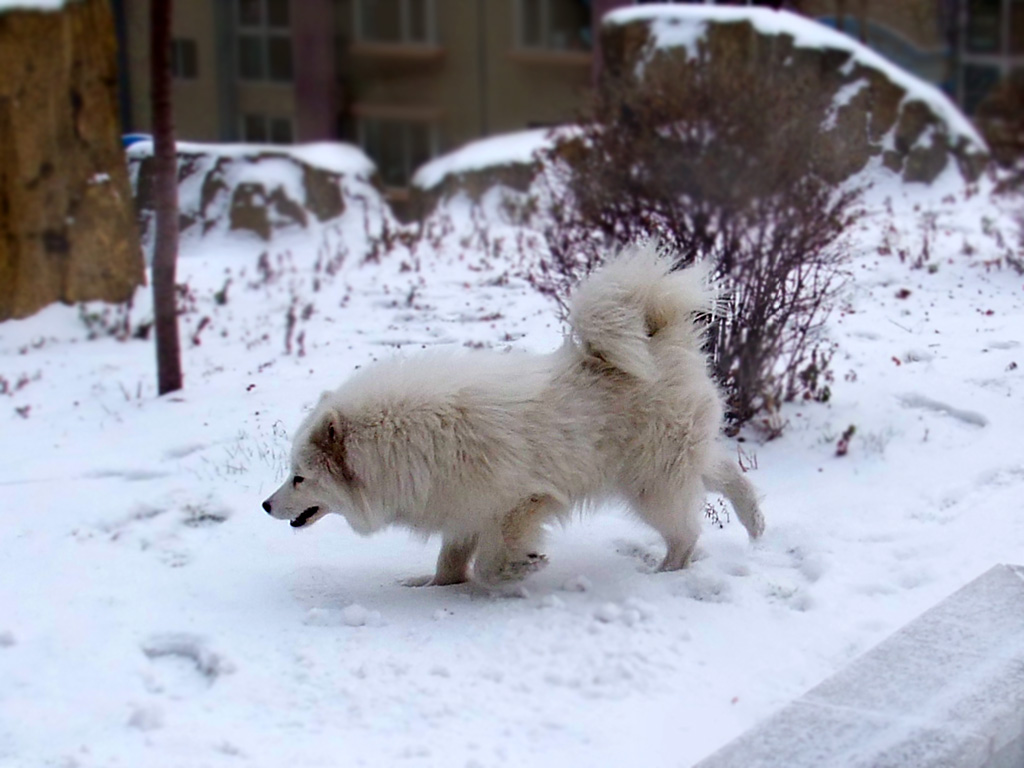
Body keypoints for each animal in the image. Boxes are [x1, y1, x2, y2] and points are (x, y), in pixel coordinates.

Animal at [264, 243, 761, 585]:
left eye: (299, 477)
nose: (265, 504)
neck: (404, 442)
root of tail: (661, 341)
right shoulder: (463, 508)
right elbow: (449, 562)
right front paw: (432, 586)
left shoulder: (522, 501)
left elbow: (490, 560)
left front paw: (521, 567)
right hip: (673, 463)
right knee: (729, 475)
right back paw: (756, 526)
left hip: (649, 484)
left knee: (685, 534)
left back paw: (665, 573)